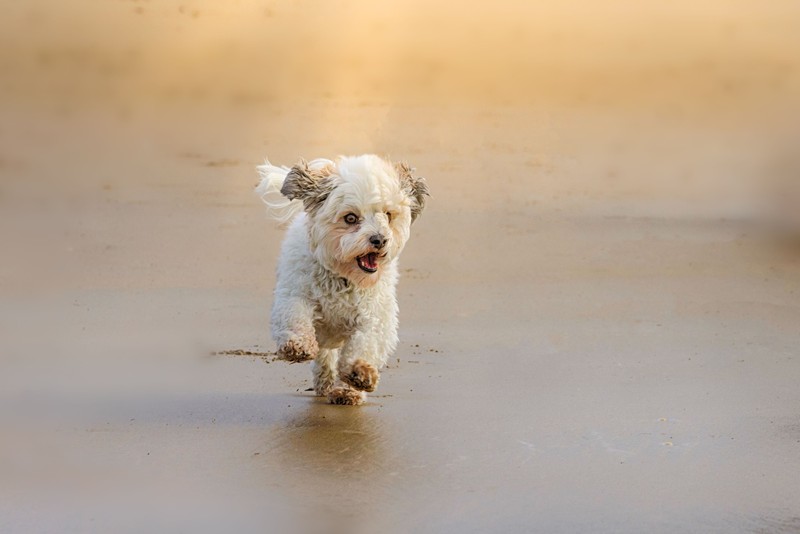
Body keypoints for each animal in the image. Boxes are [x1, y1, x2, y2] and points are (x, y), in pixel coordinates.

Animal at [258, 155, 432, 406]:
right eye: (350, 218)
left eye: (388, 215)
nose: (379, 239)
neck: (344, 277)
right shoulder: (294, 294)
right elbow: (295, 315)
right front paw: (297, 345)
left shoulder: (377, 316)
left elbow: (368, 341)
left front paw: (361, 372)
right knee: (325, 354)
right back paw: (324, 381)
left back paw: (346, 391)